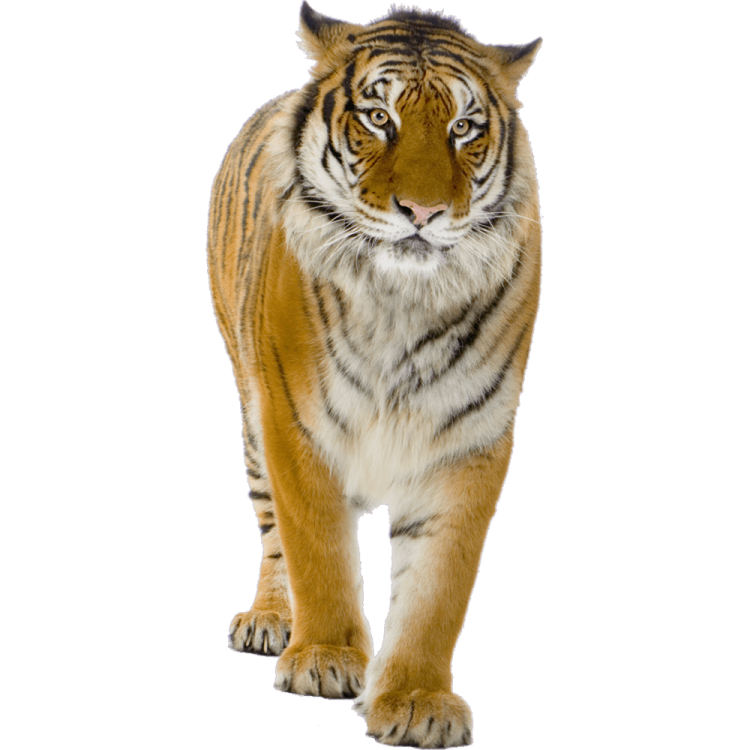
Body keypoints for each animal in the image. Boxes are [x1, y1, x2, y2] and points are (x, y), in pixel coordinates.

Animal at [207, 3, 542, 747]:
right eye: (379, 118)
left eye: (463, 128)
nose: (422, 213)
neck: (402, 301)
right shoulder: (296, 423)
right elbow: (317, 551)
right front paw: (326, 659)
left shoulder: (468, 440)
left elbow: (438, 588)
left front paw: (417, 699)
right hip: (250, 413)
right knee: (273, 534)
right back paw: (271, 620)